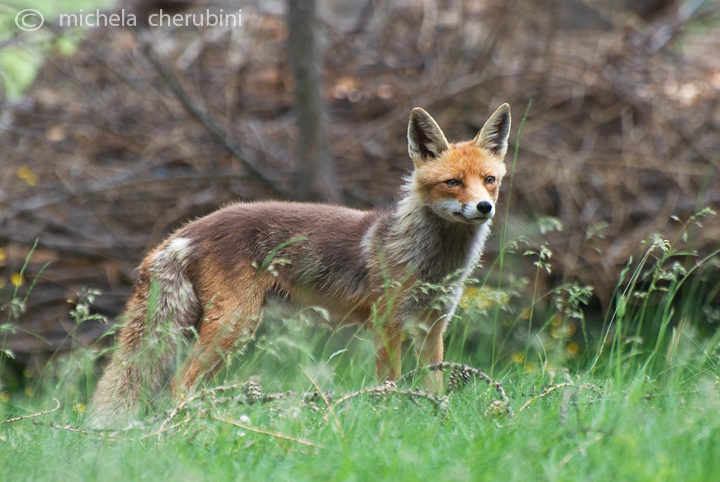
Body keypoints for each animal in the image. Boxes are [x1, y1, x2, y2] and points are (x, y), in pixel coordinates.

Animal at [87, 103, 510, 428]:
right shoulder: (387, 325)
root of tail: (190, 228)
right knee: (179, 383)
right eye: (453, 182)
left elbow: (434, 386)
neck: (431, 262)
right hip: (234, 325)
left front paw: (438, 418)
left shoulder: (432, 328)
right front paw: (389, 421)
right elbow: (388, 386)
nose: (484, 207)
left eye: (489, 180)